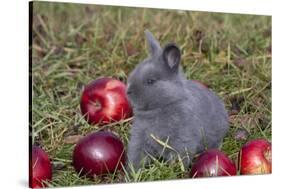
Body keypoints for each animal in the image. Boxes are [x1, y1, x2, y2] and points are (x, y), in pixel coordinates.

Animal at [126, 30, 229, 170]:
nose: (128, 91)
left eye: (151, 81)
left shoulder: (182, 140)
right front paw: (131, 172)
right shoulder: (138, 140)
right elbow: (136, 156)